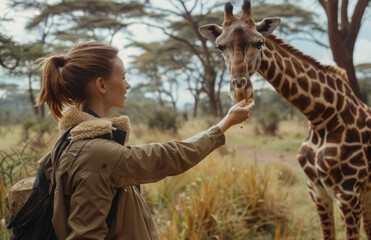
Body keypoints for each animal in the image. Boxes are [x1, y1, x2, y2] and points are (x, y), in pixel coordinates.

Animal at [201, 0, 371, 239]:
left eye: (259, 43)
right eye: (219, 46)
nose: (240, 90)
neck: (322, 116)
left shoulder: (348, 195)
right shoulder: (317, 191)